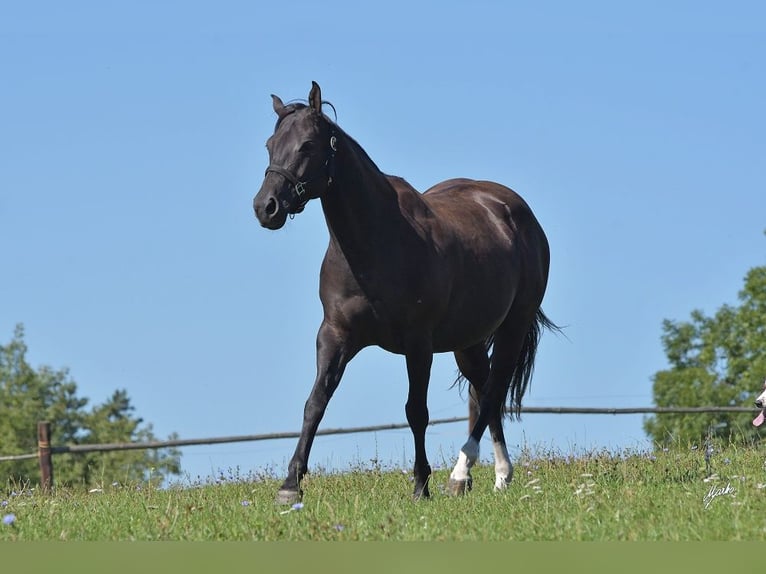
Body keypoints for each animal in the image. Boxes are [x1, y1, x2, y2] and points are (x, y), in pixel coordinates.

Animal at [255, 82, 556, 504]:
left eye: (307, 146)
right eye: (270, 145)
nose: (265, 207)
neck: (376, 242)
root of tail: (515, 211)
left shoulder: (418, 343)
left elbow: (417, 411)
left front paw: (420, 486)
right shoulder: (334, 335)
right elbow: (315, 403)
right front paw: (289, 486)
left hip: (513, 327)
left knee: (493, 390)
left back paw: (462, 473)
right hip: (468, 341)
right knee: (485, 392)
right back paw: (496, 475)